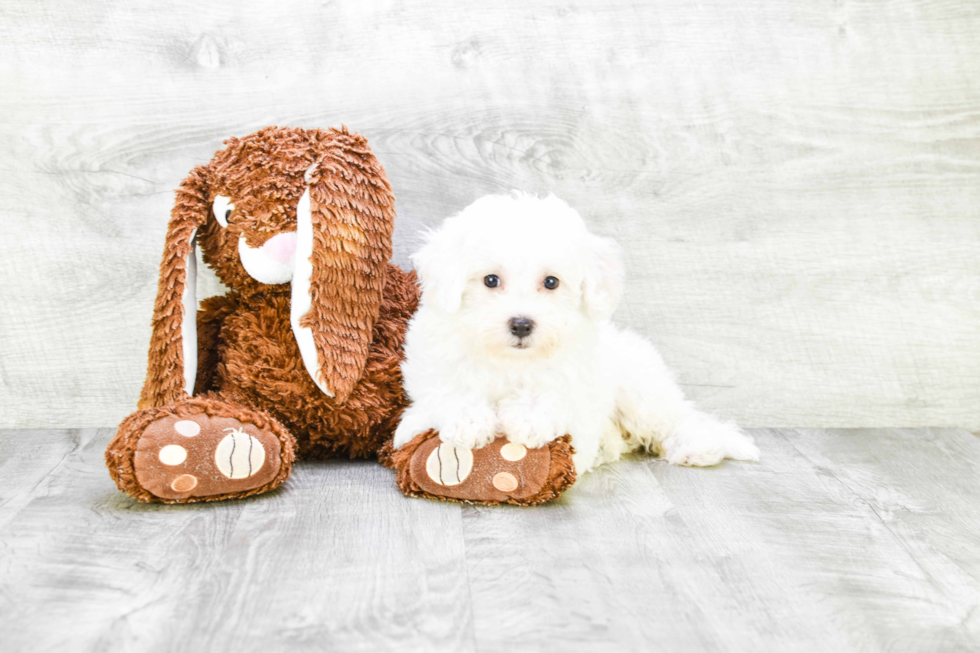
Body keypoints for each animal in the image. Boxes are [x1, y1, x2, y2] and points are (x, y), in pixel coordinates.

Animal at [390, 191, 756, 476]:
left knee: (678, 419)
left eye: (551, 282)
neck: (510, 359)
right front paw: (468, 420)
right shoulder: (434, 364)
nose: (521, 324)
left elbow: (552, 392)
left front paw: (529, 418)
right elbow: (449, 389)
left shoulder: (575, 375)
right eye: (490, 280)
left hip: (640, 390)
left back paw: (696, 446)